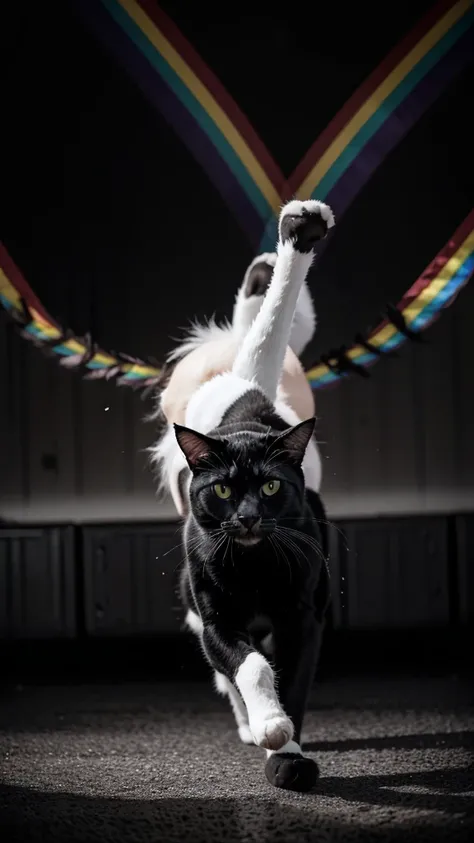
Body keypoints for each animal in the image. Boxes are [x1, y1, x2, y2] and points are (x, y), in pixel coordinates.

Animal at [152, 198, 334, 792]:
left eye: (272, 487)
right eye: (225, 489)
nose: (250, 517)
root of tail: (247, 394)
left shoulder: (305, 617)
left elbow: (293, 684)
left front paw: (289, 753)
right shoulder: (216, 620)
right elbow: (249, 666)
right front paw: (269, 727)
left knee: (266, 317)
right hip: (190, 600)